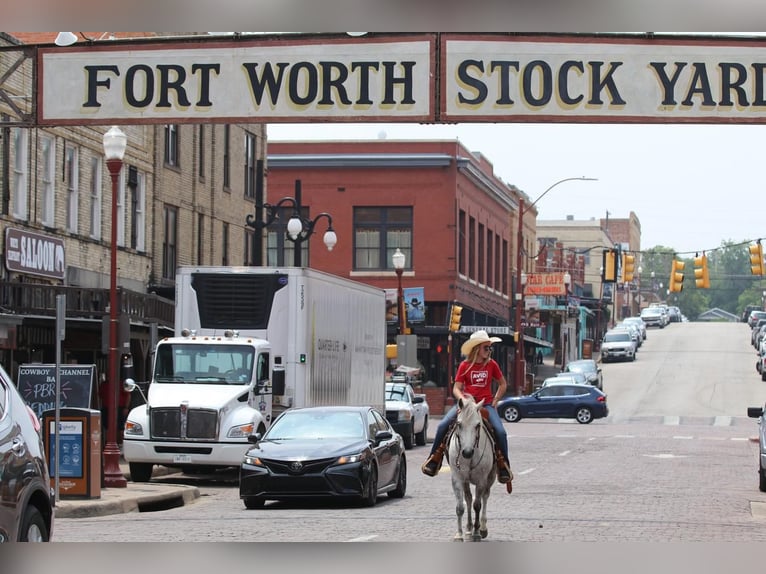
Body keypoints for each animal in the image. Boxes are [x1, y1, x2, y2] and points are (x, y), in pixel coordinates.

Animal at [448, 398, 496, 544]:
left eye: (477, 425)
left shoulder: (481, 480)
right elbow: (460, 506)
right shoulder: (457, 478)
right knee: (468, 499)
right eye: (459, 424)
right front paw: (459, 534)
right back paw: (468, 529)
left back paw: (482, 528)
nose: (467, 452)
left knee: (485, 497)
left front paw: (477, 532)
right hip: (466, 481)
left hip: (491, 478)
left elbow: (477, 505)